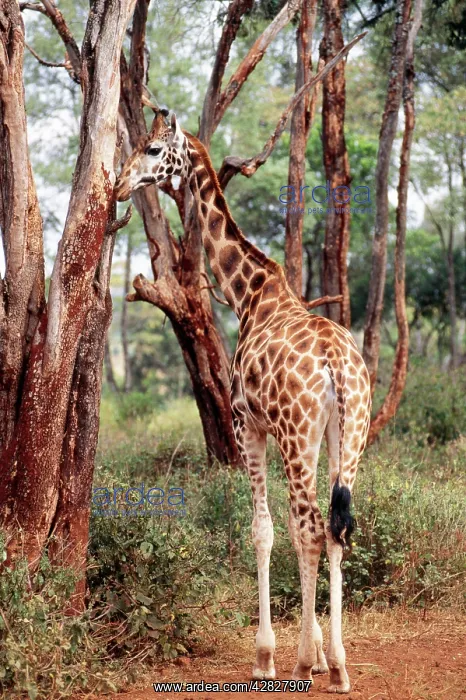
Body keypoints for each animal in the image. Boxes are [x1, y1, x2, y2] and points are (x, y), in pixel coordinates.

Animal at [115, 110, 372, 693]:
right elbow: (293, 529)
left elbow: (263, 531)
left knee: (310, 527)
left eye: (153, 148)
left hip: (297, 437)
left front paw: (269, 655)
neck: (248, 294)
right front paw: (316, 653)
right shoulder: (295, 432)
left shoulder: (245, 426)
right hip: (350, 435)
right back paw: (340, 667)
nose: (117, 186)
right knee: (336, 527)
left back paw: (302, 664)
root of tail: (337, 364)